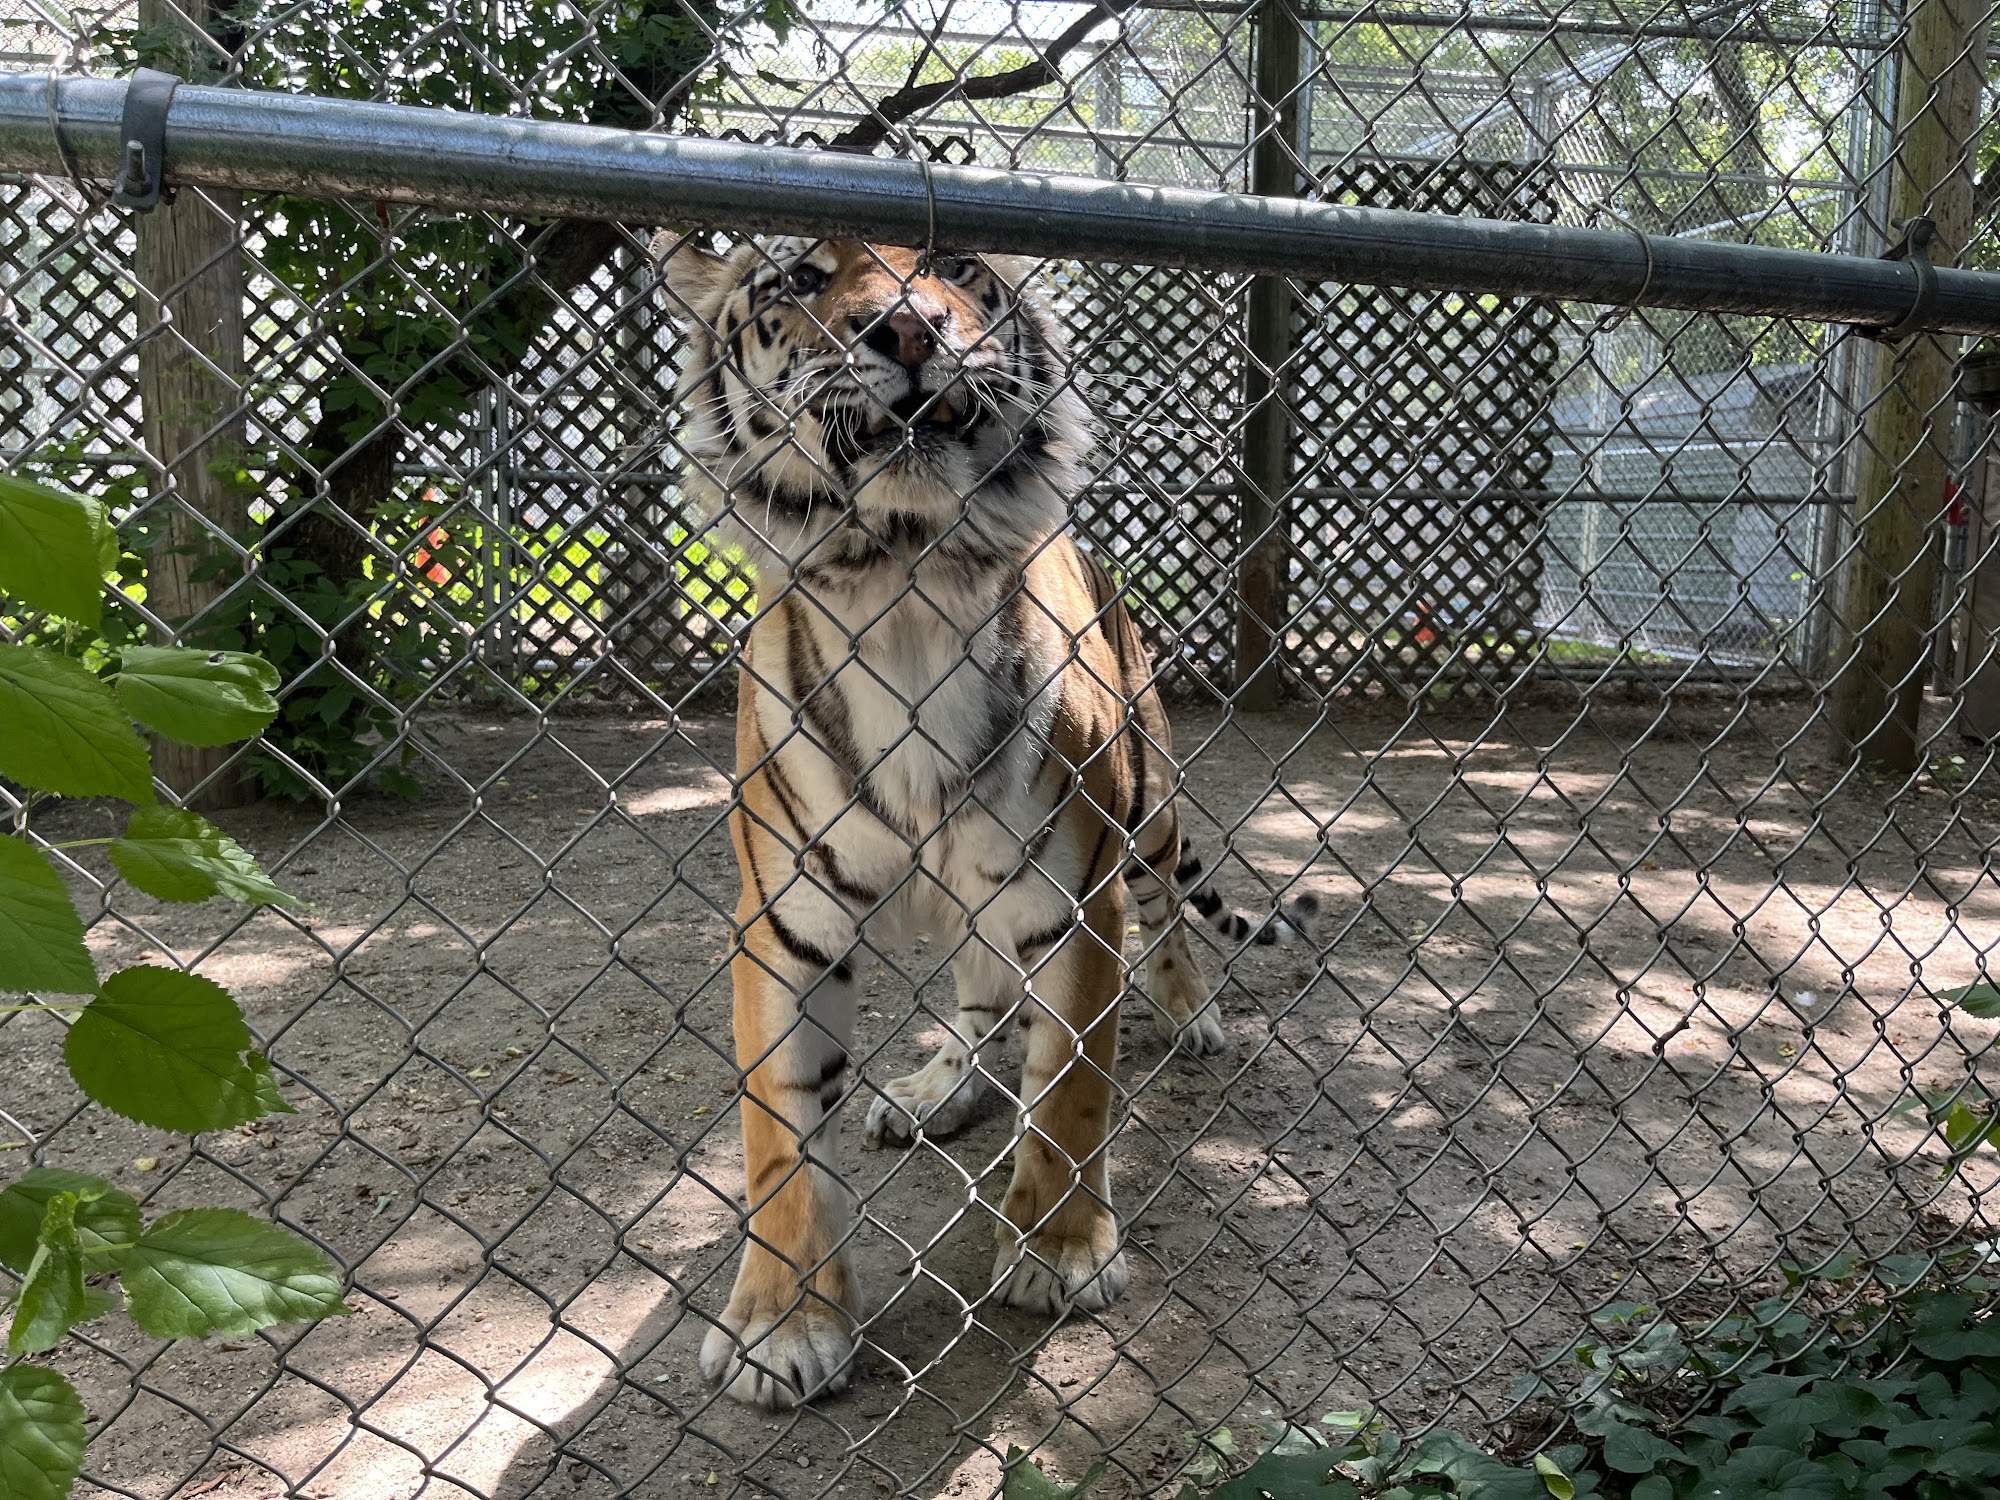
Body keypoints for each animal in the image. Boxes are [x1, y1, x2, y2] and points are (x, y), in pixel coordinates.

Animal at [664, 235, 1320, 1408]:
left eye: (959, 266)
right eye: (798, 278)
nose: (909, 327)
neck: (904, 591)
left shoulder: (1075, 899)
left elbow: (1068, 1091)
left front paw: (1058, 1253)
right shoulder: (784, 923)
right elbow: (778, 1134)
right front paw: (784, 1326)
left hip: (1147, 811)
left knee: (1167, 913)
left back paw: (1190, 1012)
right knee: (979, 995)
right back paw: (937, 1088)